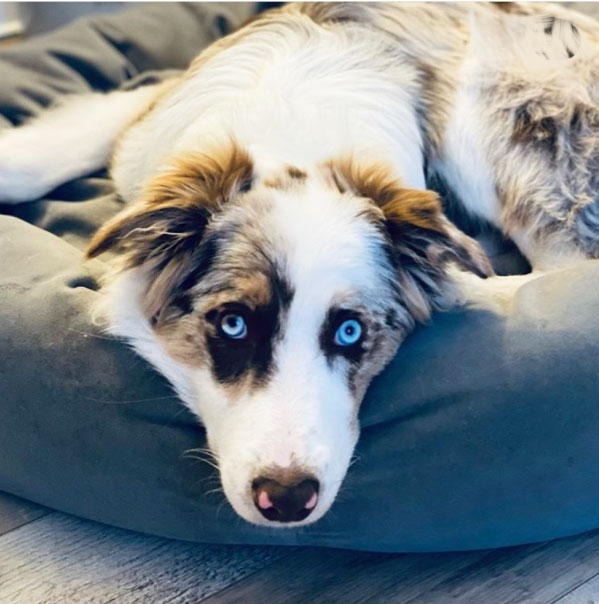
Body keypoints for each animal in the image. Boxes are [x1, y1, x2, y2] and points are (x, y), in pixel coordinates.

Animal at [0, 2, 596, 528]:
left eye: (351, 332)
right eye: (232, 324)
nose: (286, 499)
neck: (291, 140)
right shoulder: (144, 123)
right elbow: (40, 158)